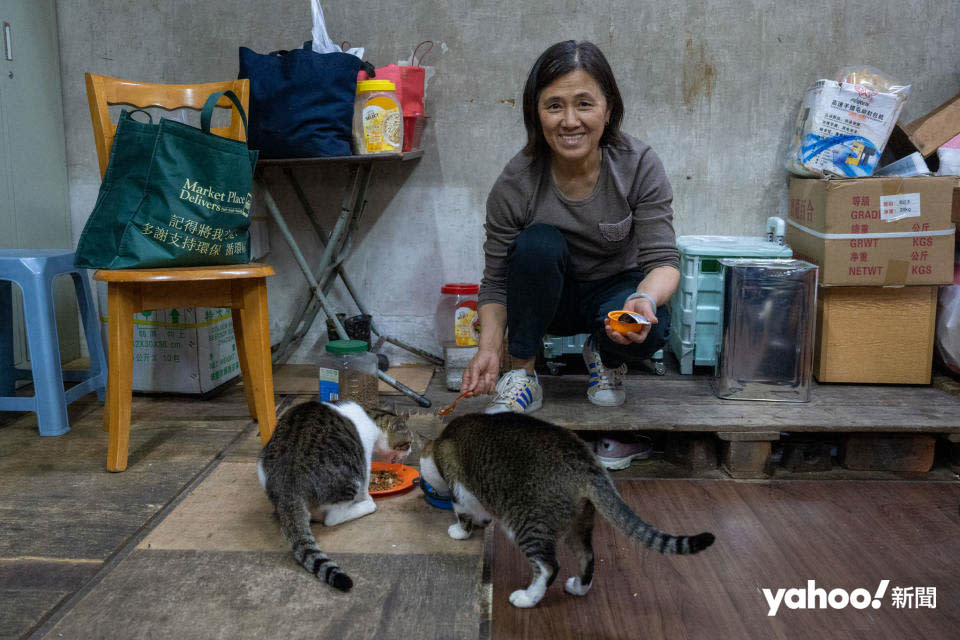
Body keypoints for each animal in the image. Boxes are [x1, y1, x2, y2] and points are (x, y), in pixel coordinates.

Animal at [258, 402, 412, 592]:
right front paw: (368, 498)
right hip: (351, 478)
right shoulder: (365, 458)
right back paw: (364, 506)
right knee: (332, 518)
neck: (373, 417)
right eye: (408, 443)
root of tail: (289, 481)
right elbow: (366, 483)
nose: (411, 451)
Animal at [418, 412, 712, 608]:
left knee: (548, 566)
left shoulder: (459, 487)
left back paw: (527, 597)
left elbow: (463, 513)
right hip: (578, 523)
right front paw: (482, 522)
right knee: (587, 556)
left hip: (527, 523)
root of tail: (587, 465)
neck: (441, 442)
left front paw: (460, 531)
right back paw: (579, 588)